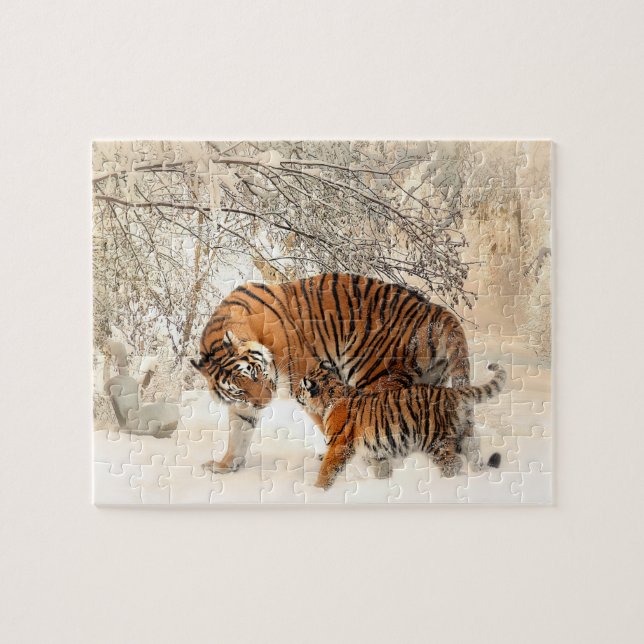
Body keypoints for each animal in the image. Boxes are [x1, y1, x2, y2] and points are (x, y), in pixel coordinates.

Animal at [191, 273, 471, 473]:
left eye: (256, 374)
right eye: (239, 390)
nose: (265, 403)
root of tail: (436, 310)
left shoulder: (309, 380)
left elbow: (330, 423)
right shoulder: (243, 406)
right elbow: (239, 433)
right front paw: (225, 466)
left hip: (375, 377)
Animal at [296, 361, 506, 489]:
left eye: (300, 387)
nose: (295, 393)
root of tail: (452, 392)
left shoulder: (339, 446)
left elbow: (327, 470)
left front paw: (318, 491)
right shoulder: (375, 451)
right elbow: (381, 468)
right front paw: (383, 483)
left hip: (435, 441)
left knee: (453, 463)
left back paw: (445, 484)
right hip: (465, 436)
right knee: (474, 456)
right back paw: (479, 478)